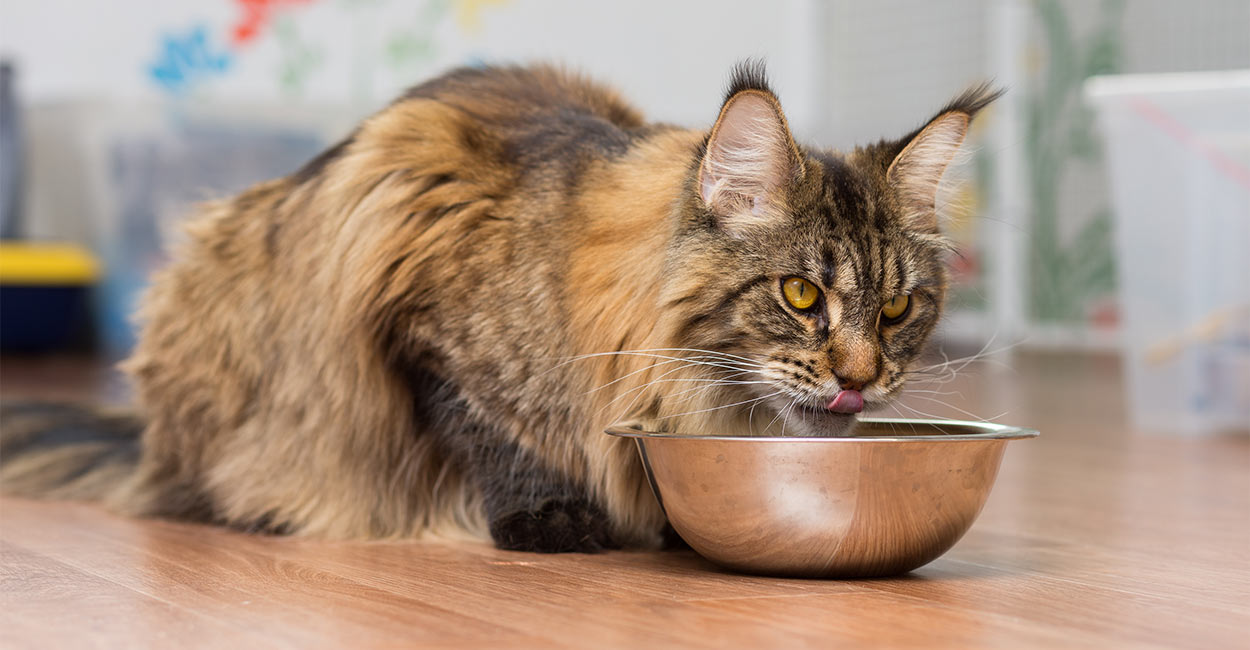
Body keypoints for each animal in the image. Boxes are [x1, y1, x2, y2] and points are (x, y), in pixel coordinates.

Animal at [0, 60, 995, 550]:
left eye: (899, 311)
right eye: (800, 294)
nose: (861, 379)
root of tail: (148, 441)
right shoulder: (417, 307)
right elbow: (493, 430)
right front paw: (552, 520)